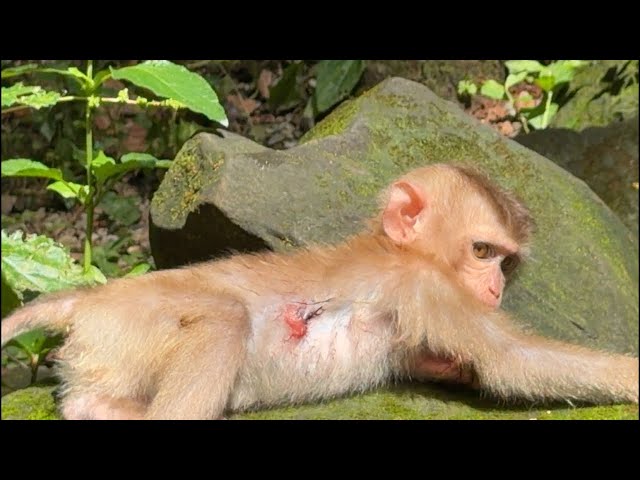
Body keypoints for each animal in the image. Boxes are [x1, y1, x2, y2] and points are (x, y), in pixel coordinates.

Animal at [1, 164, 638, 420]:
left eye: (506, 261)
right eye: (482, 252)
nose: (496, 285)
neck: (399, 252)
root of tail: (89, 299)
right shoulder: (425, 286)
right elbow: (514, 360)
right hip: (131, 324)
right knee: (224, 321)